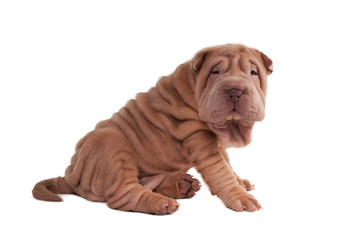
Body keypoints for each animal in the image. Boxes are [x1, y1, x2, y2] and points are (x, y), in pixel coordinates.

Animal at [32, 44, 272, 215]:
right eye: (215, 72)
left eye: (253, 72)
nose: (235, 91)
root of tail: (70, 175)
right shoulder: (198, 136)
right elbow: (221, 170)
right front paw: (241, 198)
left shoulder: (215, 140)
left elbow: (228, 163)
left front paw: (241, 182)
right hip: (110, 141)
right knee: (123, 195)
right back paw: (162, 203)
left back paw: (183, 185)